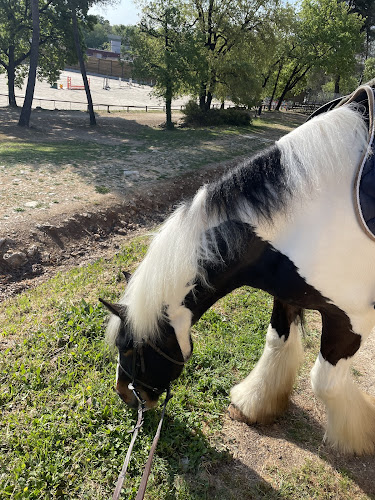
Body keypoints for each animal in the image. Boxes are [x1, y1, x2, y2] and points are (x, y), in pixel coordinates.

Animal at [102, 84, 375, 456]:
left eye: (128, 348)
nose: (125, 394)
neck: (312, 218)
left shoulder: (351, 319)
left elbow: (325, 383)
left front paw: (358, 437)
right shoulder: (288, 294)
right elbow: (276, 342)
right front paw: (255, 403)